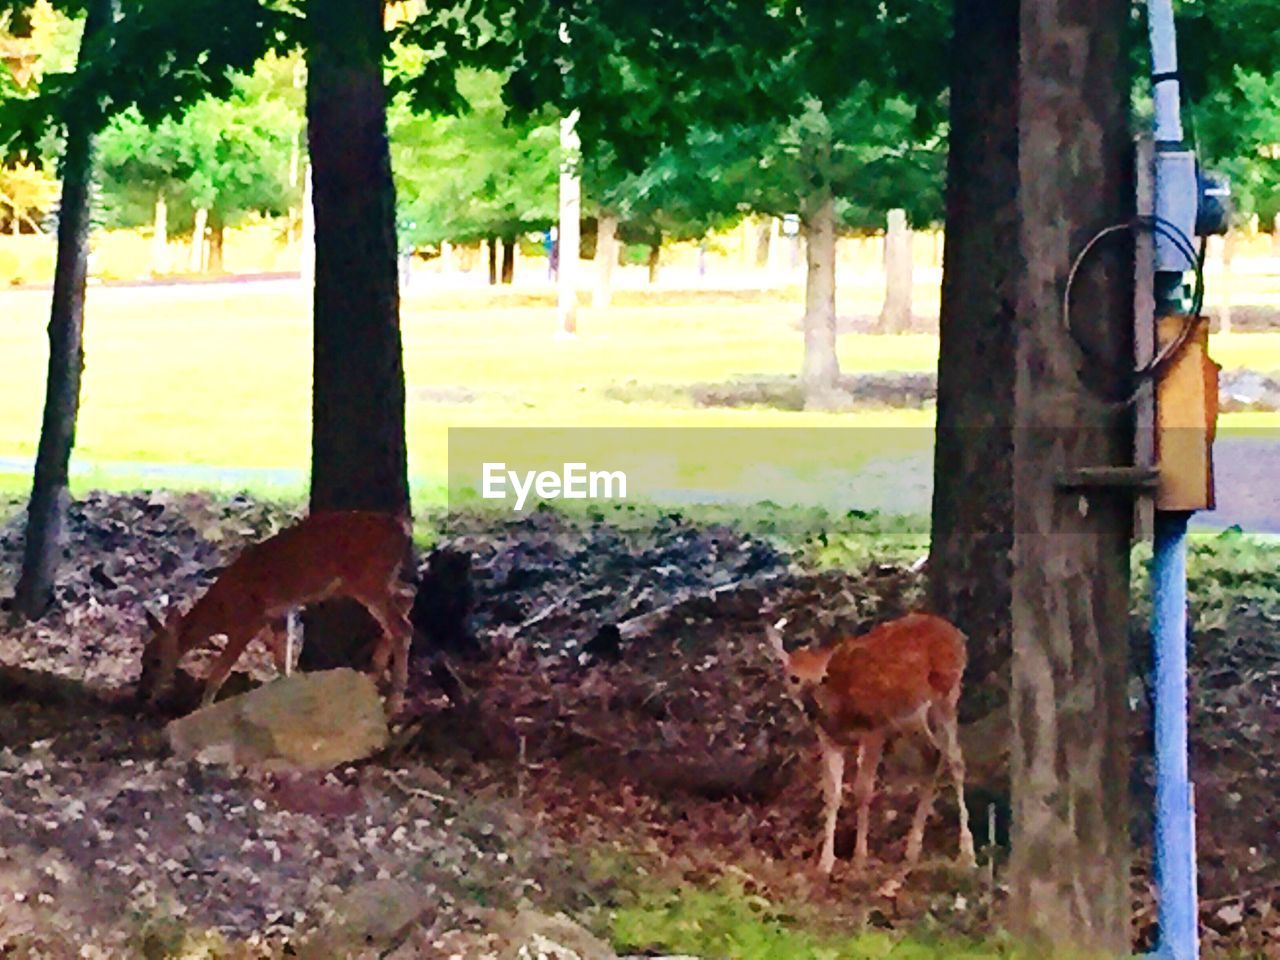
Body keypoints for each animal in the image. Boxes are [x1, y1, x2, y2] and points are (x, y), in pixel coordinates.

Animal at [142, 514, 417, 716]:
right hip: (381, 580)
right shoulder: (277, 614)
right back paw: (375, 671)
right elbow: (281, 659)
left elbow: (219, 671)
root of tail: (402, 528)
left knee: (402, 627)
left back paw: (394, 703)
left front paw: (202, 709)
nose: (144, 694)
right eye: (142, 659)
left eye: (156, 660)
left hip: (368, 580)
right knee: (408, 596)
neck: (222, 609)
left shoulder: (247, 622)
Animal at [757, 611, 977, 875]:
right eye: (794, 677)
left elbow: (863, 789)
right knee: (933, 755)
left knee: (956, 760)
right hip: (912, 716)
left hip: (947, 694)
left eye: (822, 678)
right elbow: (832, 794)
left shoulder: (874, 730)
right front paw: (825, 862)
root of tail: (956, 633)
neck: (838, 707)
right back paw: (912, 849)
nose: (811, 707)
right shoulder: (829, 739)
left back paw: (967, 852)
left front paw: (859, 857)